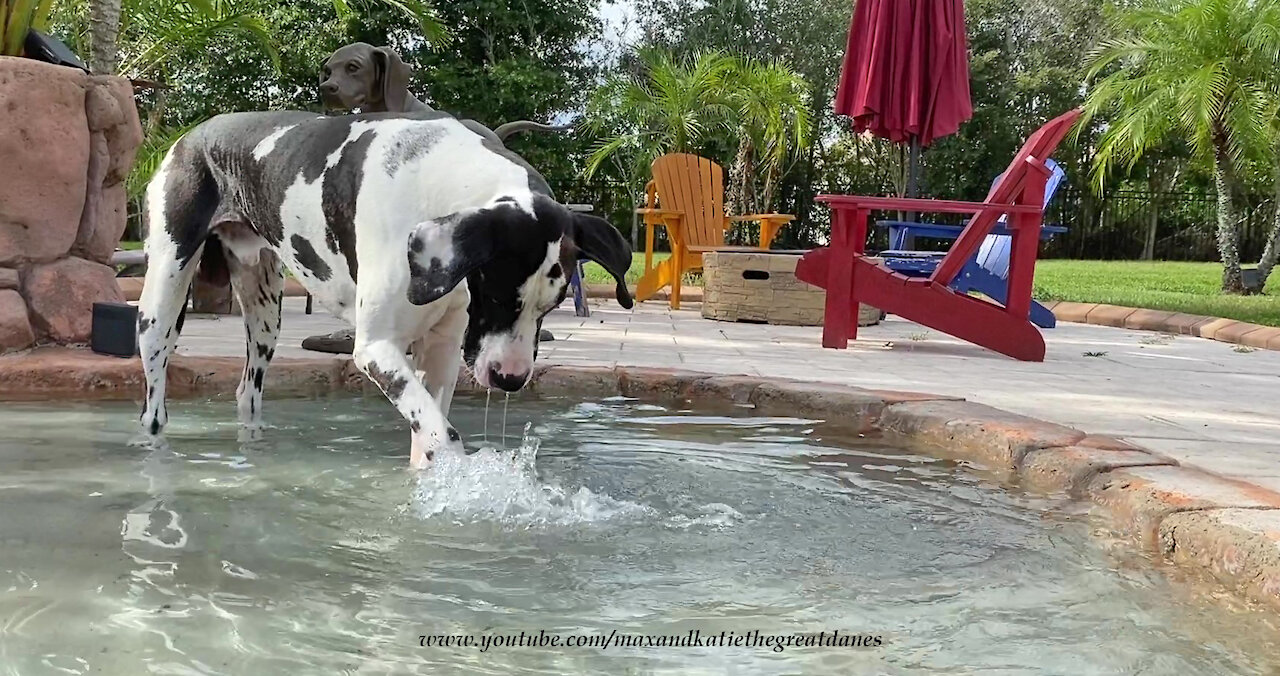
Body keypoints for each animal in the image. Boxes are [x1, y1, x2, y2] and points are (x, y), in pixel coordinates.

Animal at [137, 112, 632, 471]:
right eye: (496, 295)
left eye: (552, 305)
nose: (509, 379)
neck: (437, 180)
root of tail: (191, 137)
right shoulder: (377, 349)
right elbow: (443, 435)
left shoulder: (442, 352)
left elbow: (427, 431)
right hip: (162, 302)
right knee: (154, 401)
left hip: (264, 314)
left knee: (247, 391)